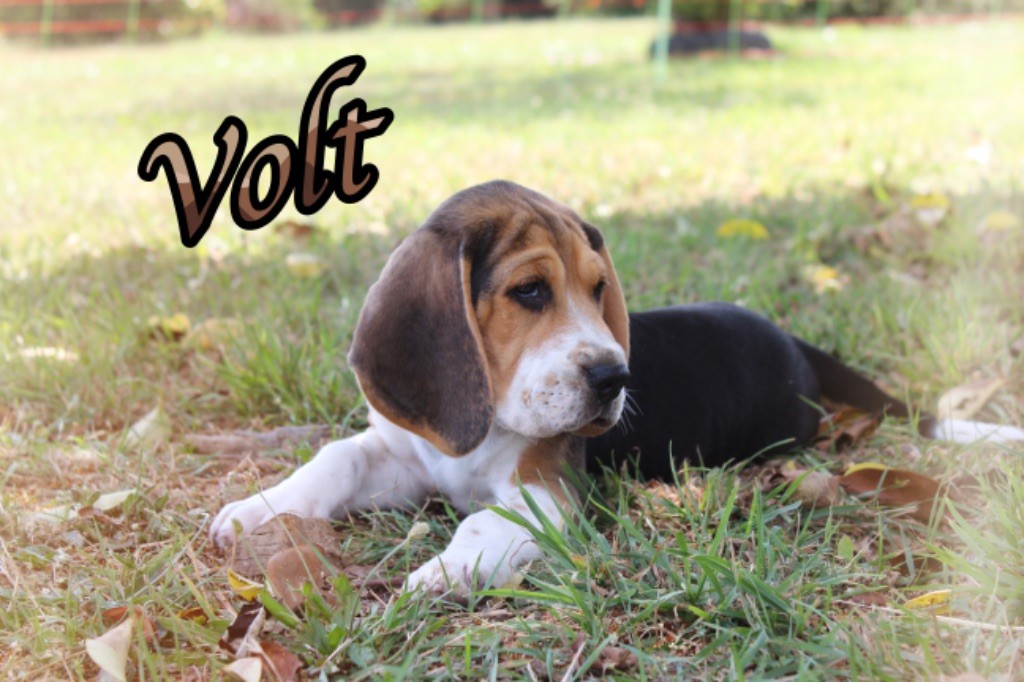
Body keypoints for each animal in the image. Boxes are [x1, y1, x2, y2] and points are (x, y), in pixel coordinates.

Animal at [210, 180, 1024, 598]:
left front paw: (445, 570)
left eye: (599, 290)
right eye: (530, 291)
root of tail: (794, 341)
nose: (615, 378)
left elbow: (484, 524)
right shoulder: (403, 453)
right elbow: (337, 458)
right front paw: (260, 508)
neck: (487, 425)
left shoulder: (546, 493)